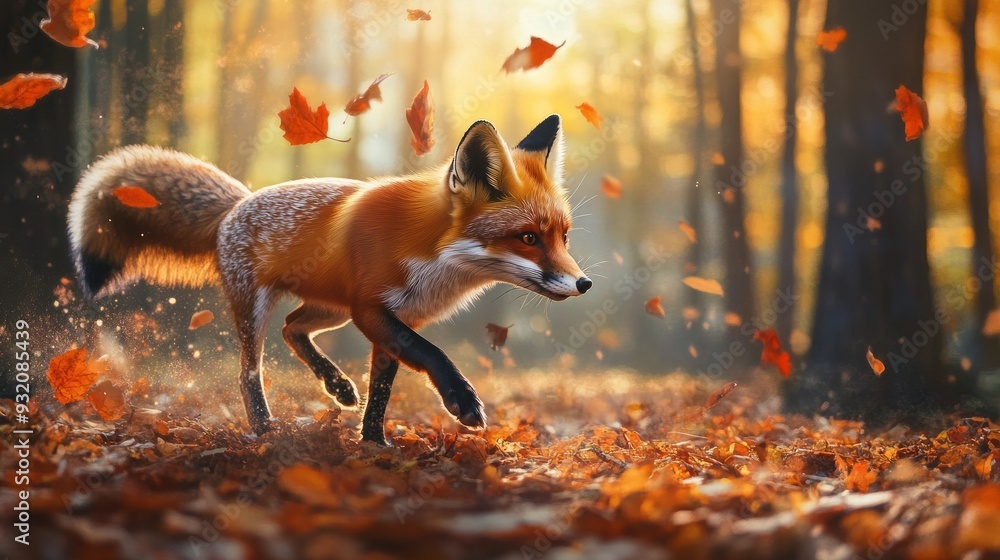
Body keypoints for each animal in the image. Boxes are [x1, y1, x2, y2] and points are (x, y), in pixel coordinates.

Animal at [67, 115, 592, 445]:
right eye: (528, 237)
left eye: (563, 236)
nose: (584, 285)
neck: (433, 257)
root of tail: (237, 203)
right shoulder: (372, 311)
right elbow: (432, 354)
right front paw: (461, 400)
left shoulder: (389, 320)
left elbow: (381, 392)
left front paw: (374, 443)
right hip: (263, 311)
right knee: (249, 371)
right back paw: (264, 427)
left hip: (330, 310)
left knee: (293, 328)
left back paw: (336, 385)